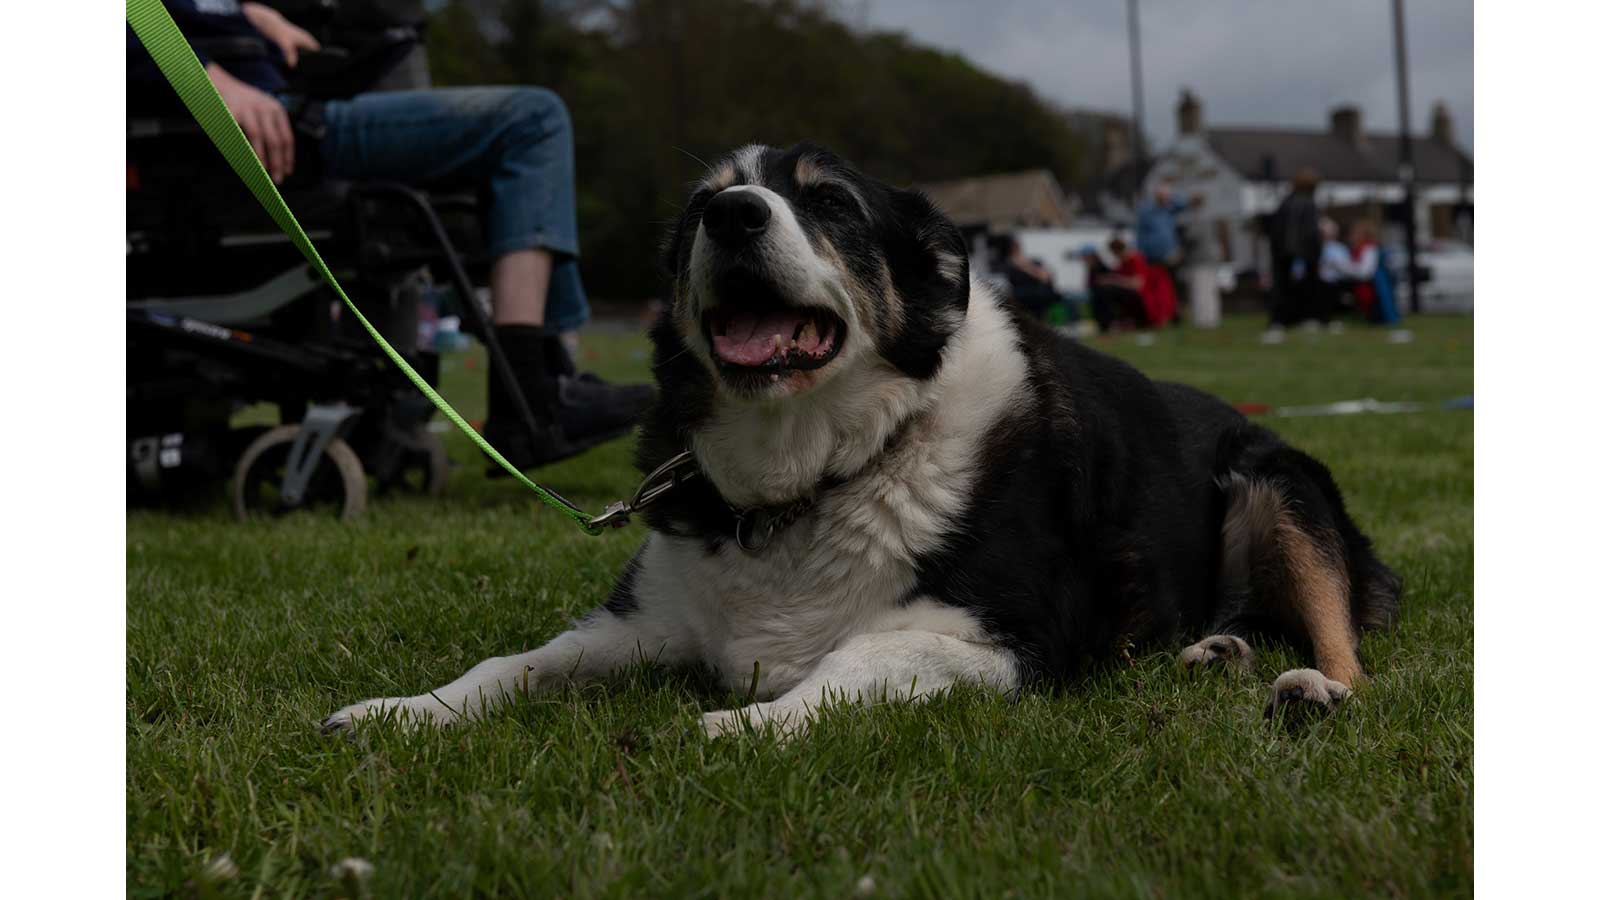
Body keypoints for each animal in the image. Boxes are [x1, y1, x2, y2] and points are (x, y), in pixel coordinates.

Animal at [324, 141, 1401, 736]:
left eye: (832, 203)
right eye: (700, 206)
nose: (731, 214)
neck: (816, 466)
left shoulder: (1007, 640)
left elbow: (851, 662)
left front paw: (738, 727)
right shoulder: (638, 621)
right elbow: (514, 664)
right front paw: (401, 713)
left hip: (1279, 483)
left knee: (1347, 648)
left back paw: (1310, 690)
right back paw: (1217, 651)